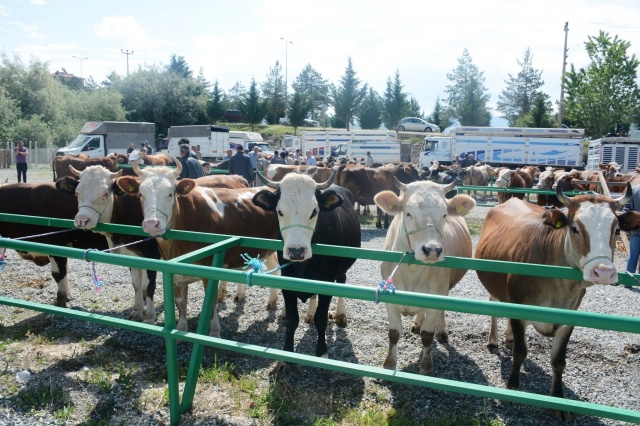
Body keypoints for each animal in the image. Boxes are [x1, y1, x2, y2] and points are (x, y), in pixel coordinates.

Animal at [115, 158, 280, 334]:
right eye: (141, 194)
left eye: (170, 193)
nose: (152, 224)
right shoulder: (174, 273)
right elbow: (180, 303)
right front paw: (181, 329)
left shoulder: (209, 271)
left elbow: (211, 303)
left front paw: (214, 331)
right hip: (267, 250)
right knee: (274, 269)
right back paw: (271, 302)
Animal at [252, 171, 360, 372]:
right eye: (279, 211)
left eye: (314, 211)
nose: (296, 251)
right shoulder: (287, 282)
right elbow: (291, 320)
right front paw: (286, 356)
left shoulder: (327, 283)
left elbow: (321, 319)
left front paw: (322, 354)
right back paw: (308, 313)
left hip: (342, 270)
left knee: (342, 281)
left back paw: (340, 315)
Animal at [370, 180, 476, 376]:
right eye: (408, 213)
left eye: (444, 214)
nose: (432, 250)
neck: (413, 269)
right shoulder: (389, 299)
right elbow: (394, 333)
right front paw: (389, 365)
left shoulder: (437, 295)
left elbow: (427, 335)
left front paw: (426, 368)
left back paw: (441, 331)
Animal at [476, 185, 640, 422]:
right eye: (575, 228)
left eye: (617, 229)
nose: (603, 272)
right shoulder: (519, 311)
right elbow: (520, 353)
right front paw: (512, 388)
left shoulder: (569, 319)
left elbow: (558, 361)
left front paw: (558, 401)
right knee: (495, 306)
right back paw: (493, 341)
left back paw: (508, 337)